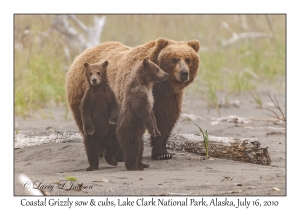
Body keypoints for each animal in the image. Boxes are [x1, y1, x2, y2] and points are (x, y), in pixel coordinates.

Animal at [67, 37, 200, 159]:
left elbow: (165, 119)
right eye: (174, 59)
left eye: (188, 59)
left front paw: (162, 153)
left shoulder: (168, 97)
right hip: (83, 91)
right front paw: (122, 153)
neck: (158, 85)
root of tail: (83, 54)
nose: (184, 73)